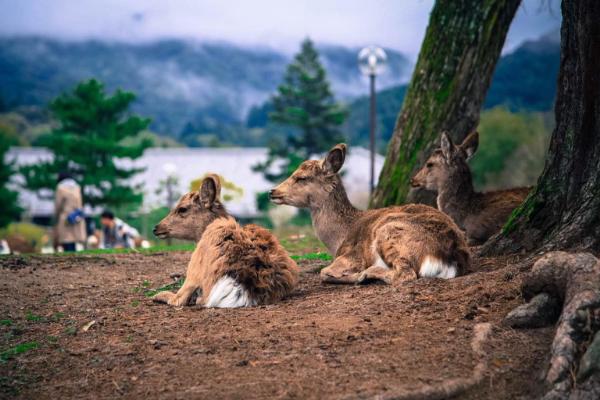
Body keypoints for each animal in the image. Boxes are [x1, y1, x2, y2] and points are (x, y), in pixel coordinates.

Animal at [270, 144, 472, 284]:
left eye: (301, 178)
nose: (272, 191)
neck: (338, 240)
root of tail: (453, 257)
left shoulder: (352, 256)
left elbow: (324, 272)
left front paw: (356, 275)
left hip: (389, 232)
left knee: (406, 274)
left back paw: (368, 273)